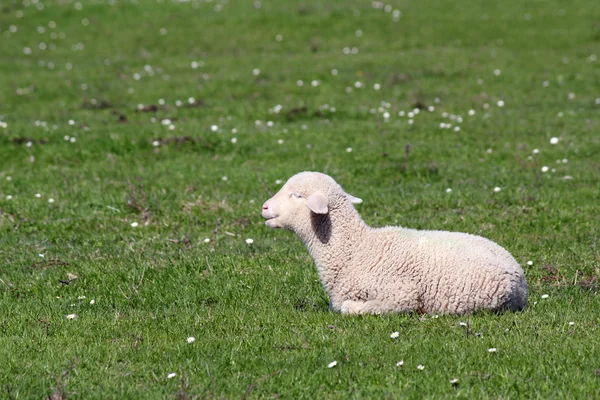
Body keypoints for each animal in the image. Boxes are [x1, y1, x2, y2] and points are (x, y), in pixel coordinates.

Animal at [260, 172, 528, 316]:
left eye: (297, 195)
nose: (264, 207)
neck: (355, 249)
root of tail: (520, 280)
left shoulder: (402, 294)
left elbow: (347, 307)